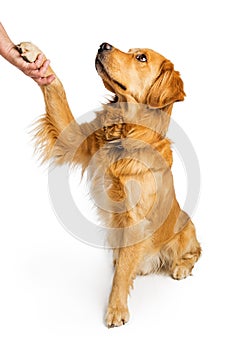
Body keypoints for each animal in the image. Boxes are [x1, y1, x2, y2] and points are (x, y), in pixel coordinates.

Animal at [16, 41, 201, 328]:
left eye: (141, 58)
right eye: (131, 50)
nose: (103, 44)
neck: (126, 132)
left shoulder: (134, 219)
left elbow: (122, 274)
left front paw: (116, 309)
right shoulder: (74, 138)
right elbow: (57, 88)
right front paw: (34, 54)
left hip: (186, 230)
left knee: (195, 252)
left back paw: (180, 267)